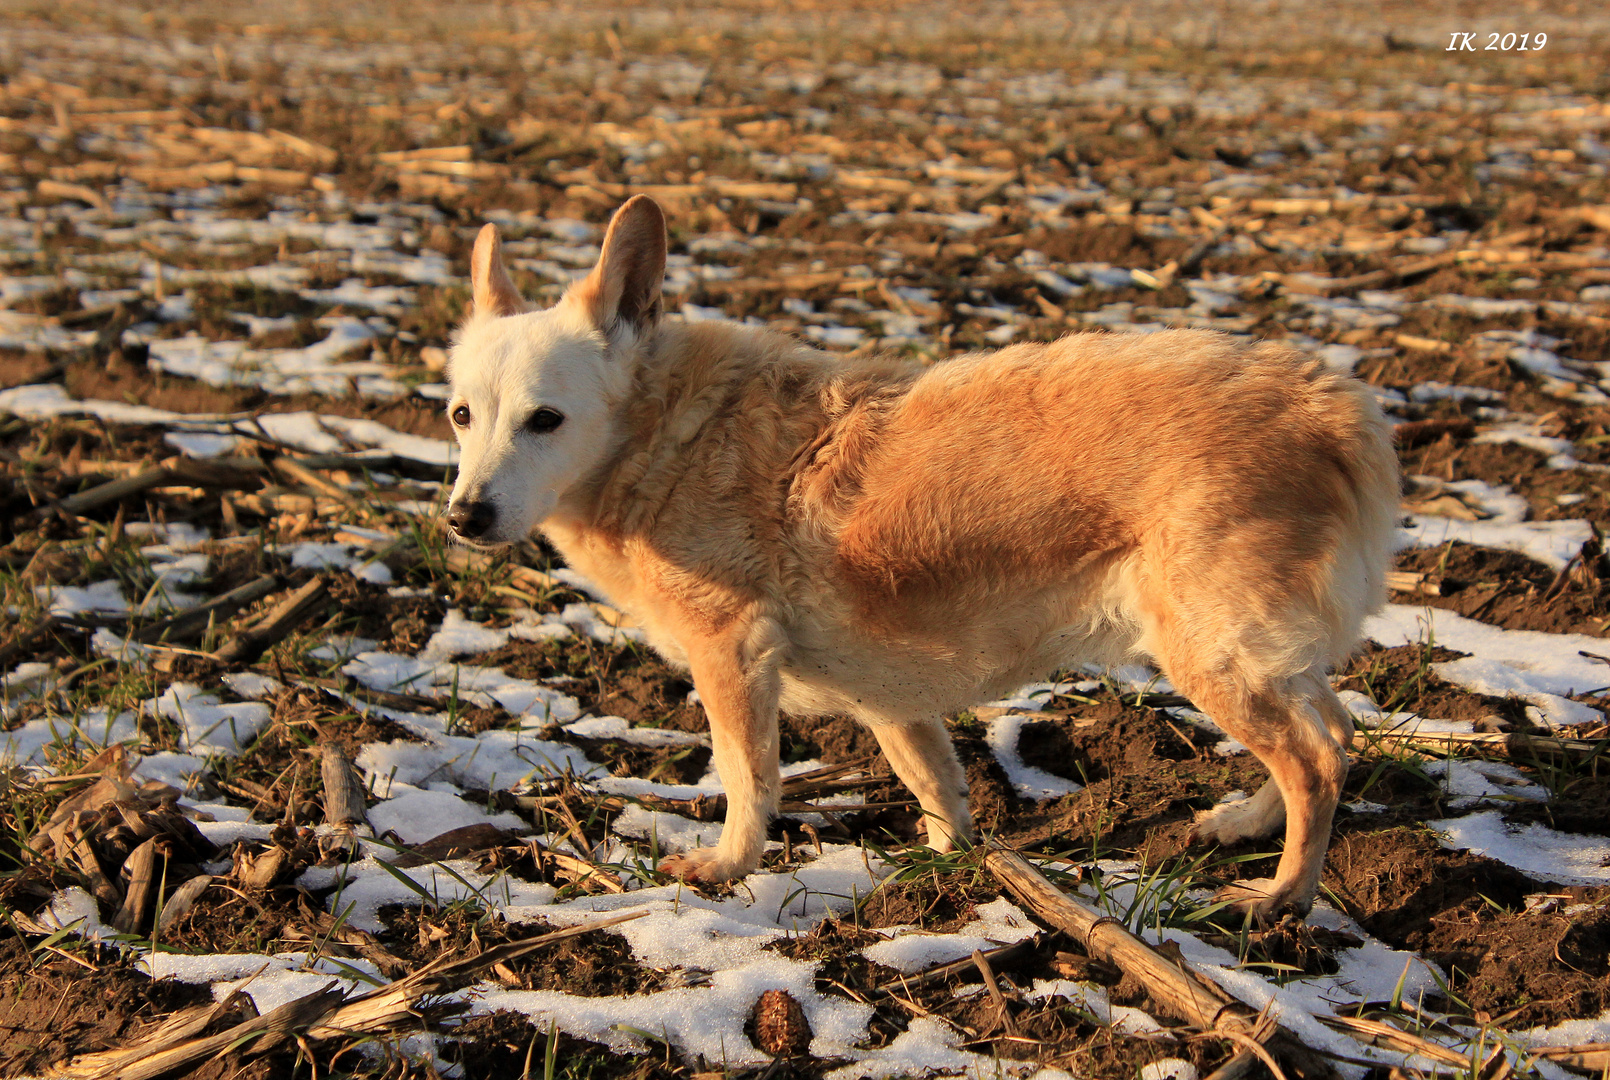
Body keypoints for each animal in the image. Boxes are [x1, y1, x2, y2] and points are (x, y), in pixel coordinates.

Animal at [447, 194, 1403, 920]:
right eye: (460, 415)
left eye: (545, 420)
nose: (463, 516)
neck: (668, 432)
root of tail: (1333, 406)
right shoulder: (886, 687)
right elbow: (934, 781)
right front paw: (943, 874)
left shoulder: (731, 651)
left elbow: (748, 776)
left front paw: (726, 867)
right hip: (1258, 648)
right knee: (1340, 729)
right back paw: (1246, 825)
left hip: (1211, 647)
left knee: (1316, 760)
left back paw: (1282, 897)